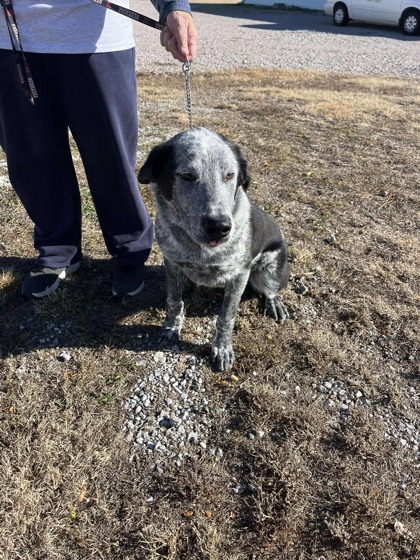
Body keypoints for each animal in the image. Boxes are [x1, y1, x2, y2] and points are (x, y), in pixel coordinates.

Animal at [138, 128, 288, 372]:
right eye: (186, 176)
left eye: (229, 175)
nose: (219, 228)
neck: (199, 250)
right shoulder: (171, 263)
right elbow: (174, 301)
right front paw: (172, 326)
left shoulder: (239, 276)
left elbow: (226, 317)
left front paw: (222, 349)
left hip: (269, 271)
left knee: (271, 290)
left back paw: (274, 303)